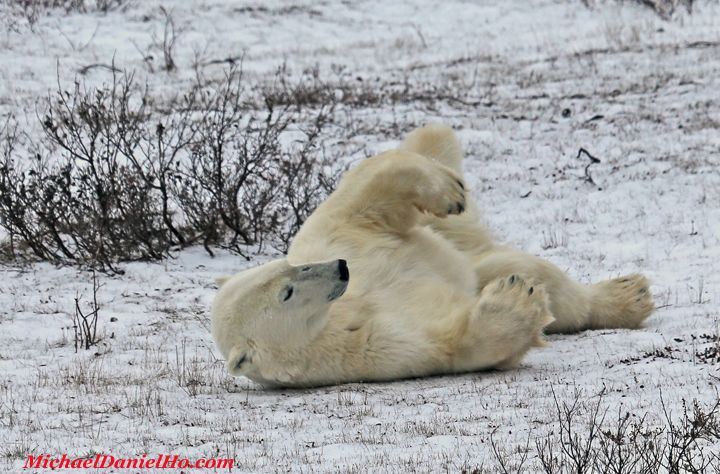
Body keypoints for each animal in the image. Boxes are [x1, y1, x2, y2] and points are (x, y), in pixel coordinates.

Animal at [211, 124, 656, 386]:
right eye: (286, 293)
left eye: (293, 264)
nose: (341, 269)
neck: (341, 313)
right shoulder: (371, 348)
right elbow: (452, 343)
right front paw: (513, 301)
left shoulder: (344, 239)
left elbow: (361, 200)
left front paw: (447, 188)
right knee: (523, 272)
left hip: (456, 252)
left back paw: (625, 295)